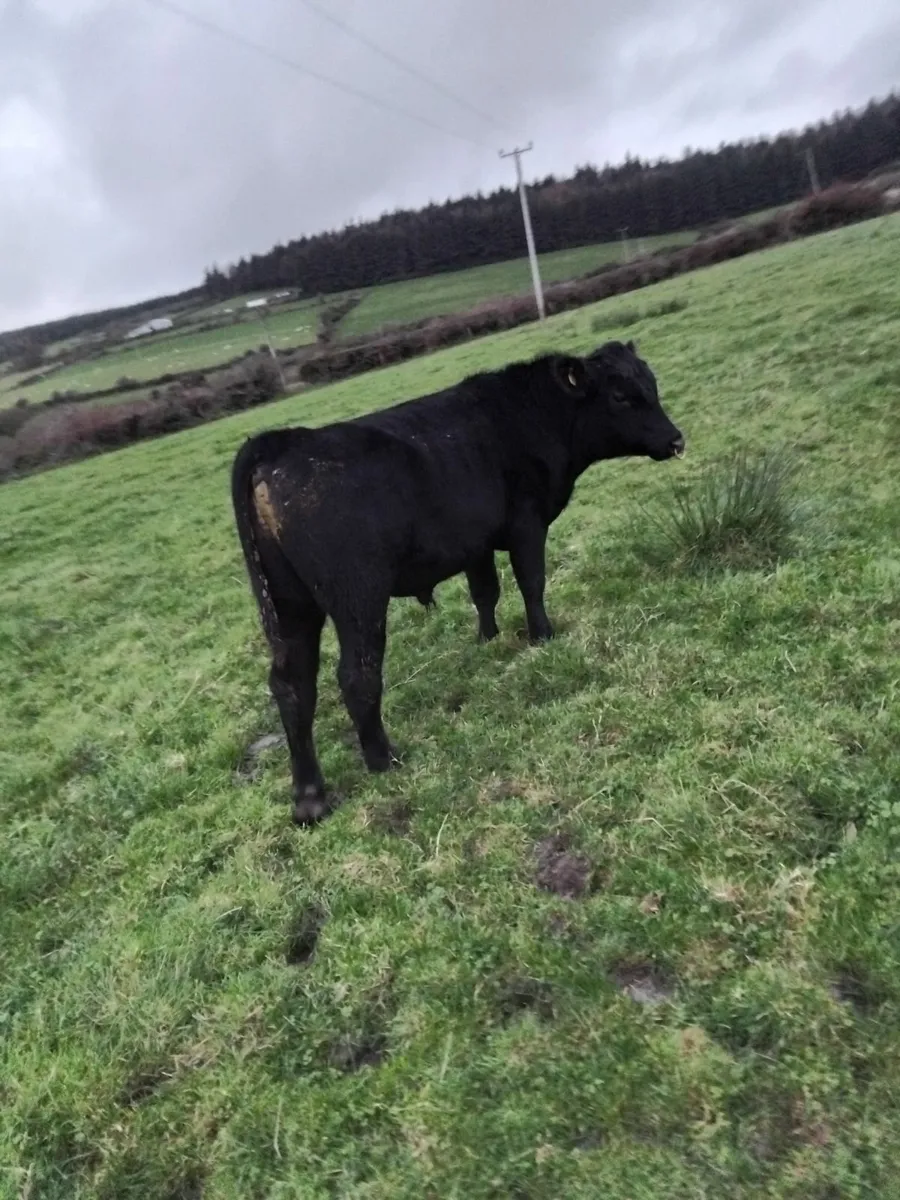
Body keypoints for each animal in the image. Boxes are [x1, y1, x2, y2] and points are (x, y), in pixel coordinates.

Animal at [231, 340, 684, 825]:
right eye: (620, 396)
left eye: (651, 383)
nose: (676, 439)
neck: (528, 413)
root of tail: (283, 442)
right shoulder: (526, 524)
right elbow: (532, 582)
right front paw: (542, 635)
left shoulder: (475, 543)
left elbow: (485, 592)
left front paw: (488, 639)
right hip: (358, 597)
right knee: (356, 675)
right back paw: (383, 759)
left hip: (290, 608)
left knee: (293, 688)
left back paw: (310, 798)